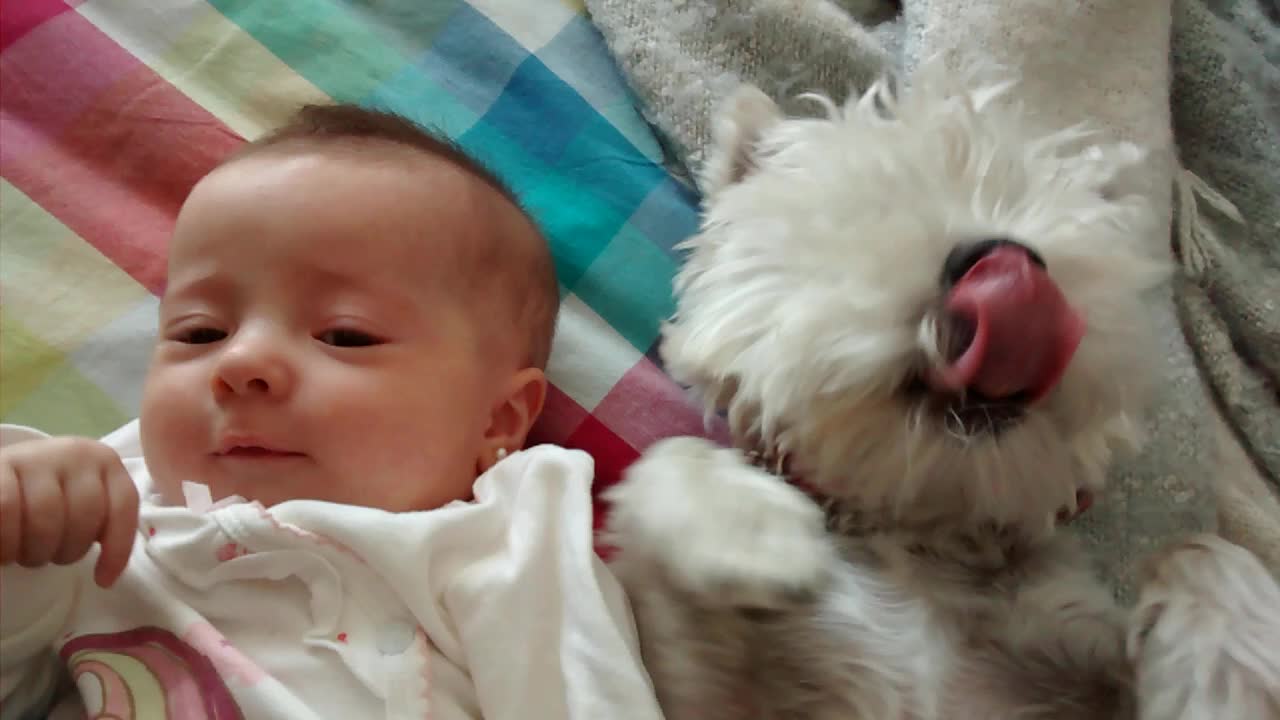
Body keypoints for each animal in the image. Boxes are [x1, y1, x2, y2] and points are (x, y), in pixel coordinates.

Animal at [601, 64, 1280, 712]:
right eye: (870, 210)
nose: (1013, 265)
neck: (915, 535)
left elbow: (1205, 550)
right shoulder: (692, 683)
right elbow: (671, 455)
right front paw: (756, 534)